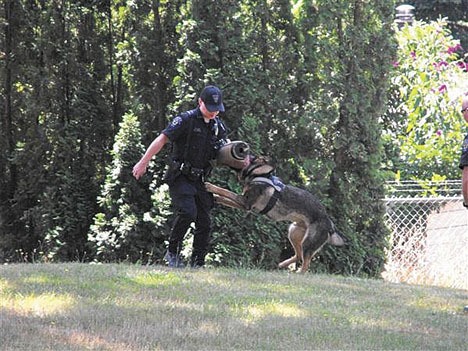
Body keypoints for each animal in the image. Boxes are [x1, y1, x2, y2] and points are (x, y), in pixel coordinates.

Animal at [207, 155, 346, 274]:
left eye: (254, 158)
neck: (261, 175)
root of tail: (330, 225)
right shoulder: (244, 205)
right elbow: (225, 198)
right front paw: (216, 198)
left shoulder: (245, 202)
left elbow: (225, 191)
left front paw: (210, 186)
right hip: (293, 232)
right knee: (298, 255)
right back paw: (283, 265)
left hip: (308, 242)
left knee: (306, 263)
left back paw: (299, 274)